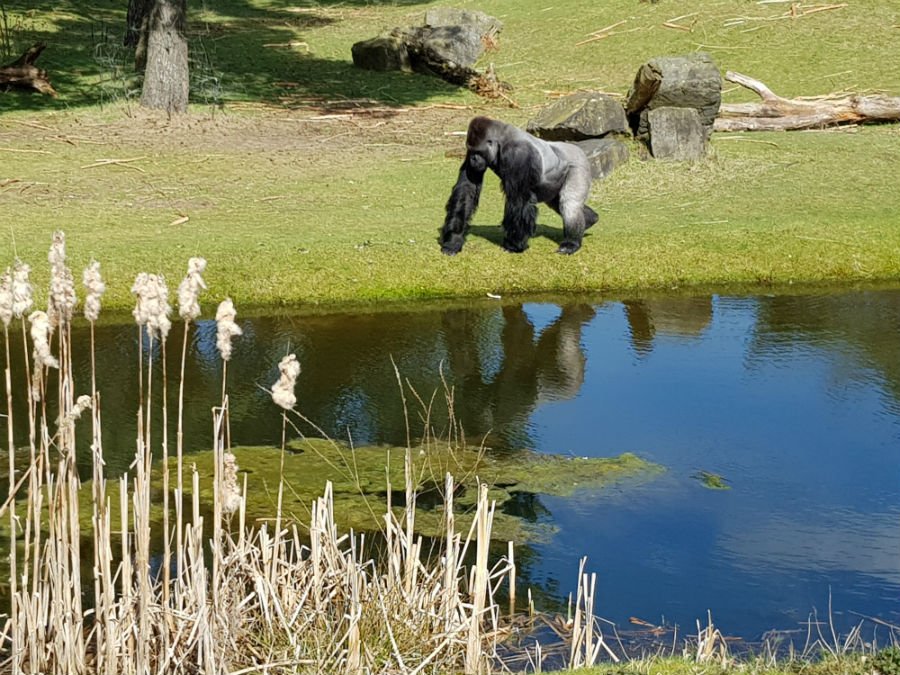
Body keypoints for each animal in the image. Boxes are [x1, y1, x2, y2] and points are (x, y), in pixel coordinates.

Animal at [442, 116, 596, 256]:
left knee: (569, 203)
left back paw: (571, 242)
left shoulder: (518, 154)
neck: (501, 140)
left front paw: (514, 245)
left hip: (579, 163)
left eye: (478, 152)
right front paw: (454, 239)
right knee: (557, 203)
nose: (473, 159)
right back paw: (590, 220)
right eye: (471, 151)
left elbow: (519, 201)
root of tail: (577, 148)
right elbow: (467, 189)